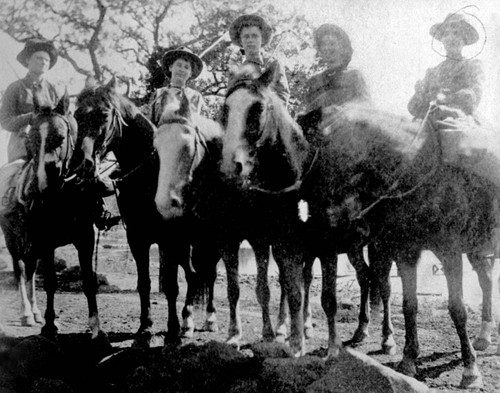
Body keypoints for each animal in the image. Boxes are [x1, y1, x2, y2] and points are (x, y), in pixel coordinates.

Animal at [0, 92, 106, 340]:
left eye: (60, 137)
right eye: (31, 139)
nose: (43, 181)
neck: (64, 194)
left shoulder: (85, 239)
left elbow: (89, 281)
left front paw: (96, 328)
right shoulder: (46, 241)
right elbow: (50, 282)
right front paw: (49, 326)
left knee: (30, 271)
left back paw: (35, 313)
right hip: (12, 239)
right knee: (20, 272)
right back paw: (26, 314)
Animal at [73, 78, 205, 342]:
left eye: (105, 114)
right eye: (76, 114)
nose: (83, 164)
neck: (150, 173)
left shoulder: (168, 238)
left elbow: (171, 285)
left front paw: (172, 332)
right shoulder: (137, 237)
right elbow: (144, 282)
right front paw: (145, 327)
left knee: (199, 274)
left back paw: (192, 322)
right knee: (193, 273)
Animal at [296, 99, 496, 388]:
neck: (416, 168)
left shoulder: (448, 251)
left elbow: (457, 308)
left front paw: (470, 370)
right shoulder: (406, 251)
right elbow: (409, 304)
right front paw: (409, 359)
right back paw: (482, 336)